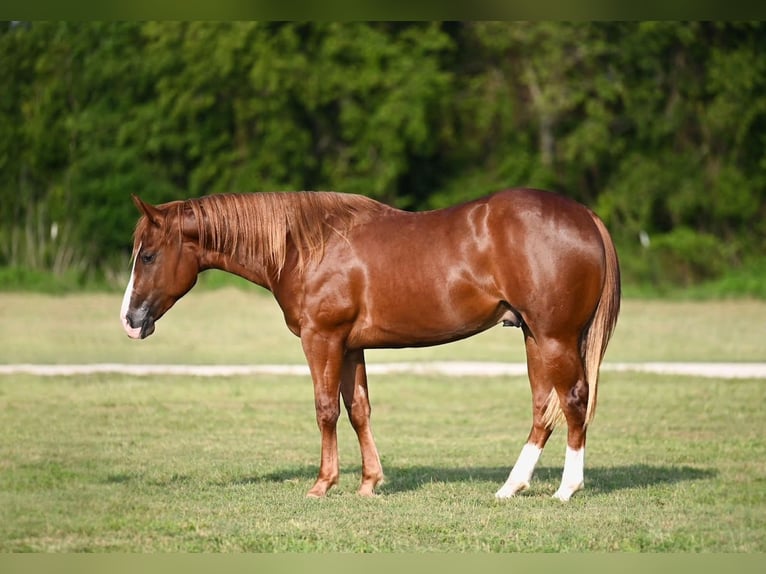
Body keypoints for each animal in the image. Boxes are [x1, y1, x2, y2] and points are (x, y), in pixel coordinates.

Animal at [120, 188, 620, 501]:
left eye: (148, 255)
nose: (130, 321)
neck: (305, 247)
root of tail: (585, 216)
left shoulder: (321, 339)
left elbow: (325, 409)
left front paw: (323, 484)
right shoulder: (350, 346)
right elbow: (358, 409)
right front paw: (369, 482)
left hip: (554, 338)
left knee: (573, 400)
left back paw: (566, 489)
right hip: (534, 338)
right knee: (543, 408)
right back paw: (510, 487)